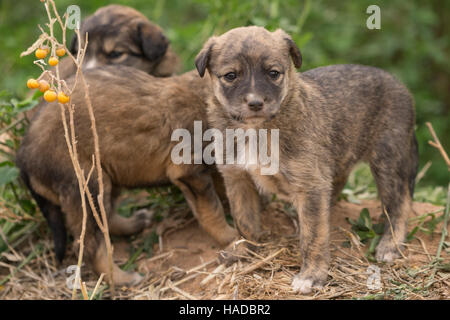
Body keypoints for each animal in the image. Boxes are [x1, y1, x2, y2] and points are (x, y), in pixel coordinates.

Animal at [15, 66, 237, 286]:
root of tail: (23, 158)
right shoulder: (189, 170)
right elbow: (212, 210)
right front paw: (231, 236)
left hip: (105, 177)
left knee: (107, 218)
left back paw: (136, 223)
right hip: (86, 183)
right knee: (90, 245)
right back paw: (123, 279)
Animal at [195, 26, 420, 294]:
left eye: (273, 73)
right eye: (230, 76)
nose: (255, 103)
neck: (258, 129)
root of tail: (401, 86)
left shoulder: (310, 182)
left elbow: (313, 236)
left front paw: (311, 275)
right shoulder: (237, 177)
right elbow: (244, 219)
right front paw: (244, 250)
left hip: (387, 159)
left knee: (400, 203)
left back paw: (390, 245)